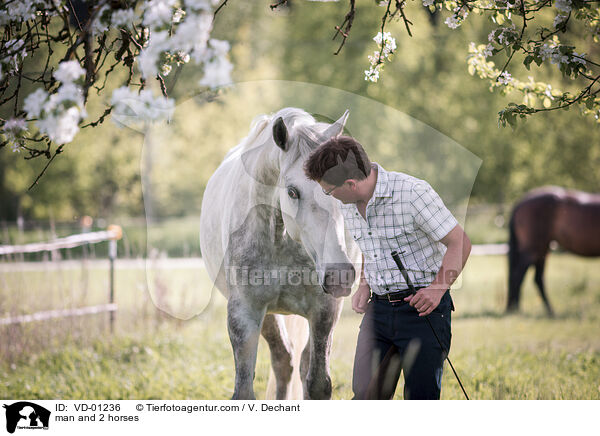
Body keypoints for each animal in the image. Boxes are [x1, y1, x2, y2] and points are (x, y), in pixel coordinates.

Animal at [202, 106, 360, 398]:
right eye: (292, 191)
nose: (339, 274)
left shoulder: (324, 311)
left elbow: (318, 384)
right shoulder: (245, 312)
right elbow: (244, 389)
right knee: (283, 361)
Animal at [506, 186, 600, 316]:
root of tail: (520, 203)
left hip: (542, 251)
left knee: (537, 278)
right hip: (532, 250)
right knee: (519, 275)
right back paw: (519, 309)